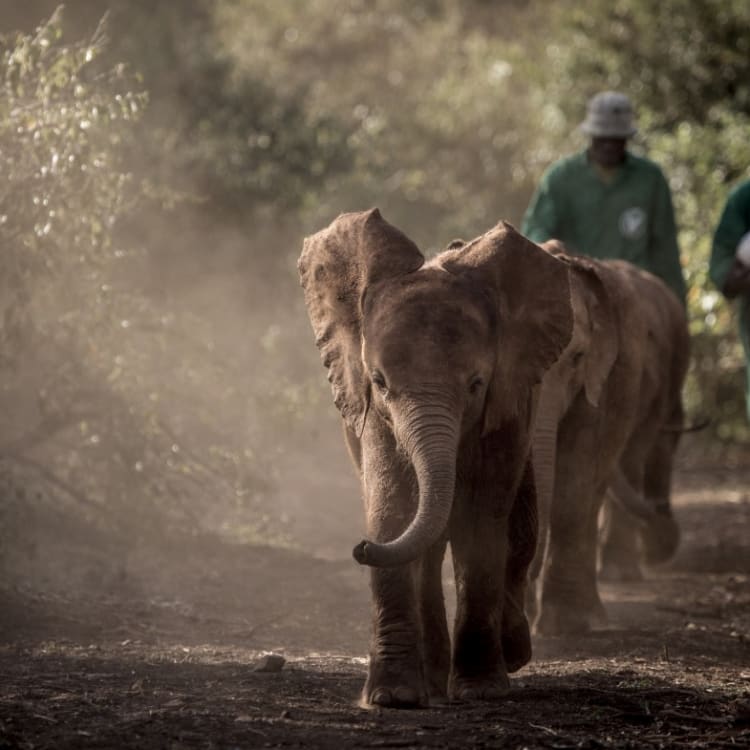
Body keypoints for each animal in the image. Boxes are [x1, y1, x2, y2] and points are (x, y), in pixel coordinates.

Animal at [300, 212, 576, 712]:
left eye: (476, 384)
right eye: (379, 382)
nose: (359, 548)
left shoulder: (508, 403)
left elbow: (483, 523)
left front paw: (482, 690)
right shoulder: (373, 415)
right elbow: (392, 509)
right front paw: (392, 698)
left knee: (519, 526)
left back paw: (508, 655)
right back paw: (430, 681)